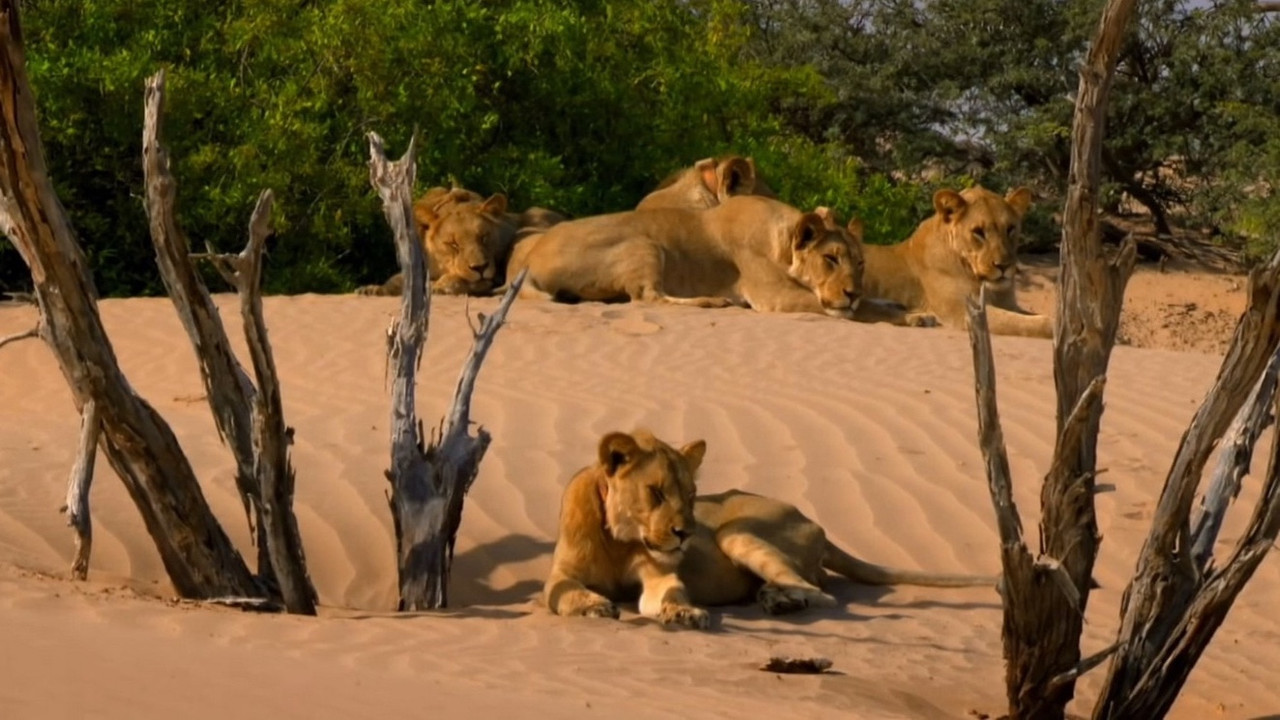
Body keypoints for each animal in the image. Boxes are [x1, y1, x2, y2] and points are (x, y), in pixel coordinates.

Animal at [506, 195, 863, 317]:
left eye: (860, 262)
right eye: (830, 258)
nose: (853, 293)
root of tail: (530, 258)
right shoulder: (775, 295)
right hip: (645, 245)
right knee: (649, 298)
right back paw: (714, 302)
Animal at [545, 430, 996, 628]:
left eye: (692, 495)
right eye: (655, 492)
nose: (685, 533)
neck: (618, 539)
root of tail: (817, 524)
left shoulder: (660, 575)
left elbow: (668, 593)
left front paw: (685, 612)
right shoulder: (560, 577)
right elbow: (563, 594)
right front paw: (593, 604)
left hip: (736, 533)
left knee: (822, 593)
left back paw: (780, 601)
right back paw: (774, 599)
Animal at [861, 186, 1051, 337]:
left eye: (1011, 229)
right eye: (978, 232)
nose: (1003, 266)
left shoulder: (1008, 305)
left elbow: (1027, 317)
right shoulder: (962, 312)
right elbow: (1024, 322)